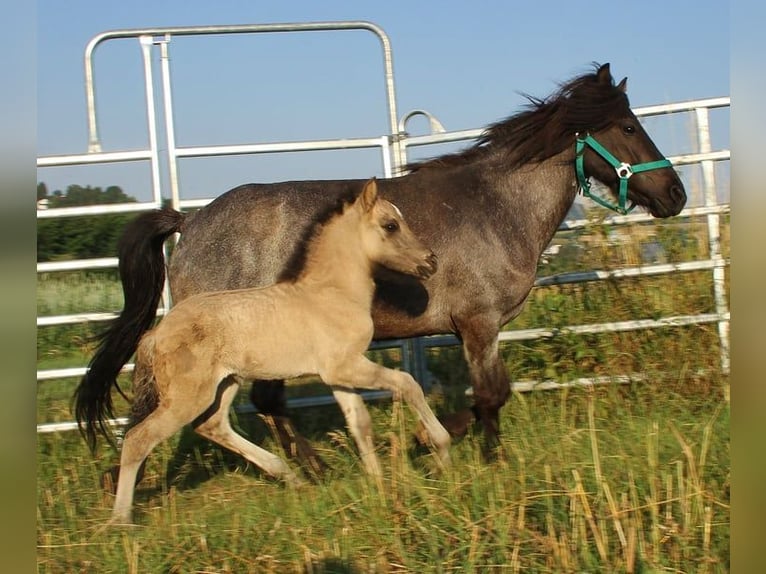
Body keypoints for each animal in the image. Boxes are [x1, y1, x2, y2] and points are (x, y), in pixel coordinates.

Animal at [75, 62, 686, 477]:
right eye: (628, 127)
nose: (676, 195)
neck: (495, 206)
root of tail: (191, 221)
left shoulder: (475, 329)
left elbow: (491, 393)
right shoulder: (478, 323)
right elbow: (491, 395)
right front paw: (468, 449)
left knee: (260, 406)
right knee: (254, 406)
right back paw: (309, 468)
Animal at [75, 178, 449, 524]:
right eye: (390, 225)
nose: (430, 262)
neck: (331, 293)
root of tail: (155, 334)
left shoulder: (336, 374)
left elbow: (360, 423)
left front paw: (378, 485)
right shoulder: (348, 365)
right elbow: (406, 383)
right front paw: (441, 448)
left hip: (226, 383)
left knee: (211, 426)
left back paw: (289, 476)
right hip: (187, 397)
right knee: (140, 437)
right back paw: (120, 521)